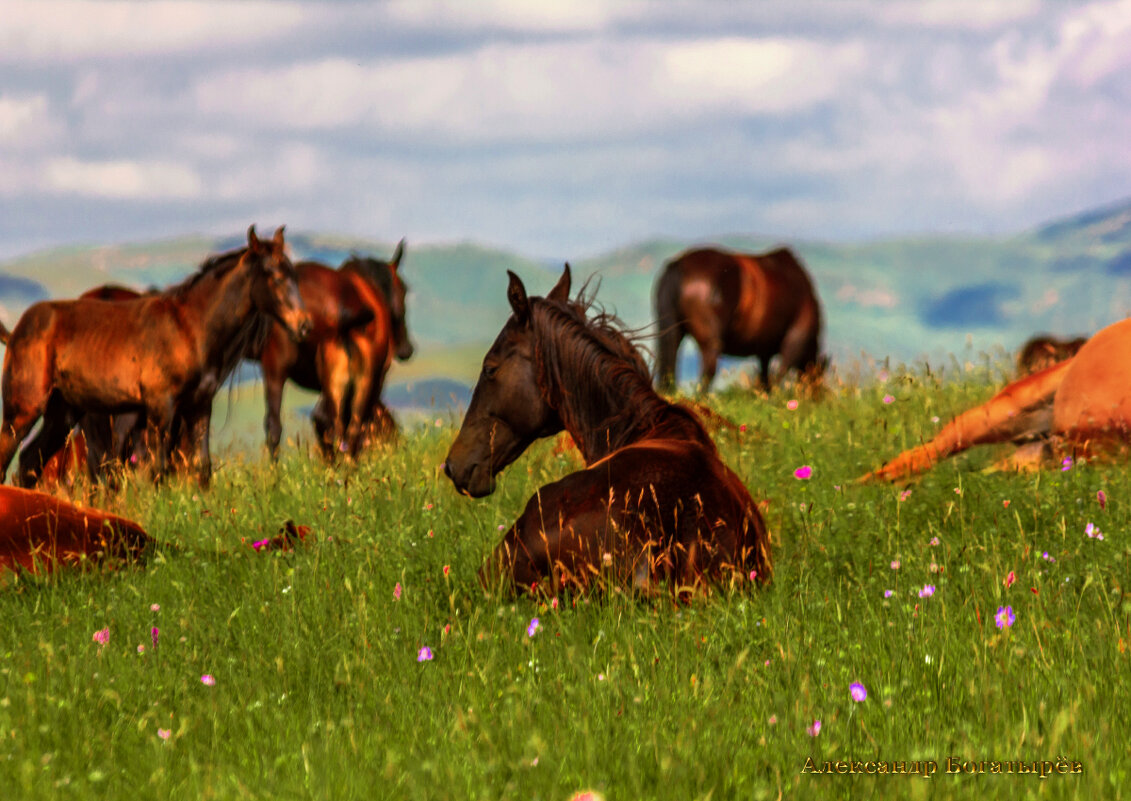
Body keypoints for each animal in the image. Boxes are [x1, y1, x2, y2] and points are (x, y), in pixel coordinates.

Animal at [0, 225, 309, 488]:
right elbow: (157, 469)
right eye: (274, 276)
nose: (304, 325)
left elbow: (201, 467)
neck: (190, 328)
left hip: (62, 411)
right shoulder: (161, 405)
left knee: (29, 462)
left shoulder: (199, 405)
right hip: (24, 407)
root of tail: (15, 333)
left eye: (294, 275)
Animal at [651, 245, 827, 393]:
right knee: (707, 375)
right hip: (711, 342)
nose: (818, 398)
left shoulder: (765, 350)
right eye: (819, 377)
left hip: (673, 332)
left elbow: (765, 378)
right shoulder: (795, 339)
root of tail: (679, 265)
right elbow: (779, 374)